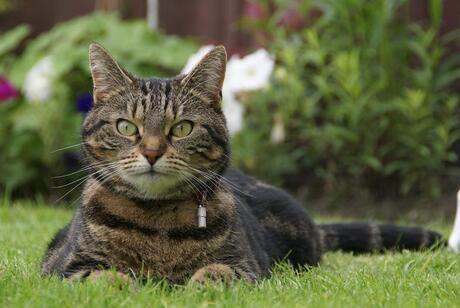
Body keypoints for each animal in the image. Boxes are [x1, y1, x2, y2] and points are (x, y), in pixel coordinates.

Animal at [42, 44, 442, 284]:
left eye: (182, 127)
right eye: (126, 127)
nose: (152, 152)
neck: (157, 222)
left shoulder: (247, 267)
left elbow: (215, 272)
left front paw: (200, 288)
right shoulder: (62, 267)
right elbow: (105, 277)